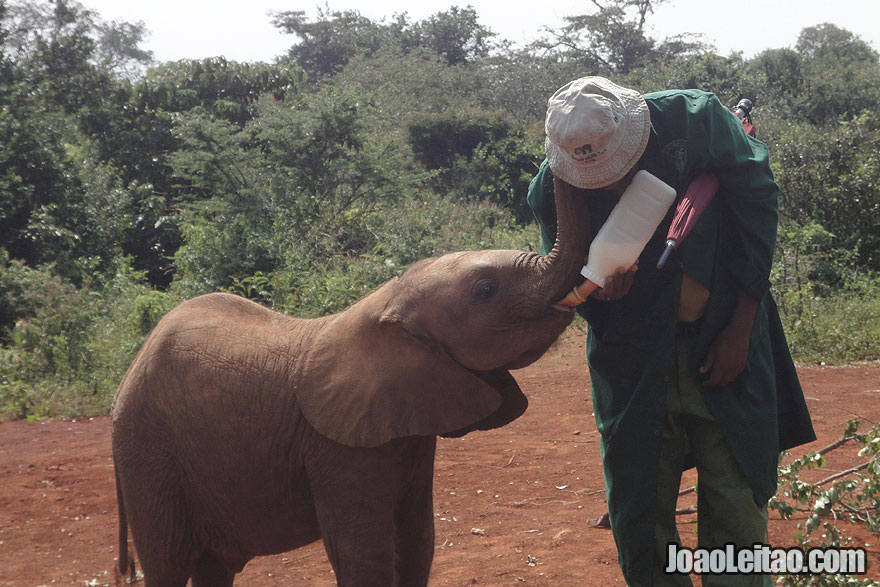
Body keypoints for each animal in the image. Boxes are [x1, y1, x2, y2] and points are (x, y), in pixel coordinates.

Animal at [110, 249, 576, 587]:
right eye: (485, 290)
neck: (387, 301)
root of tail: (125, 380)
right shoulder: (335, 447)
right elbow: (362, 554)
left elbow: (417, 542)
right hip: (149, 456)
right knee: (168, 563)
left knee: (213, 567)